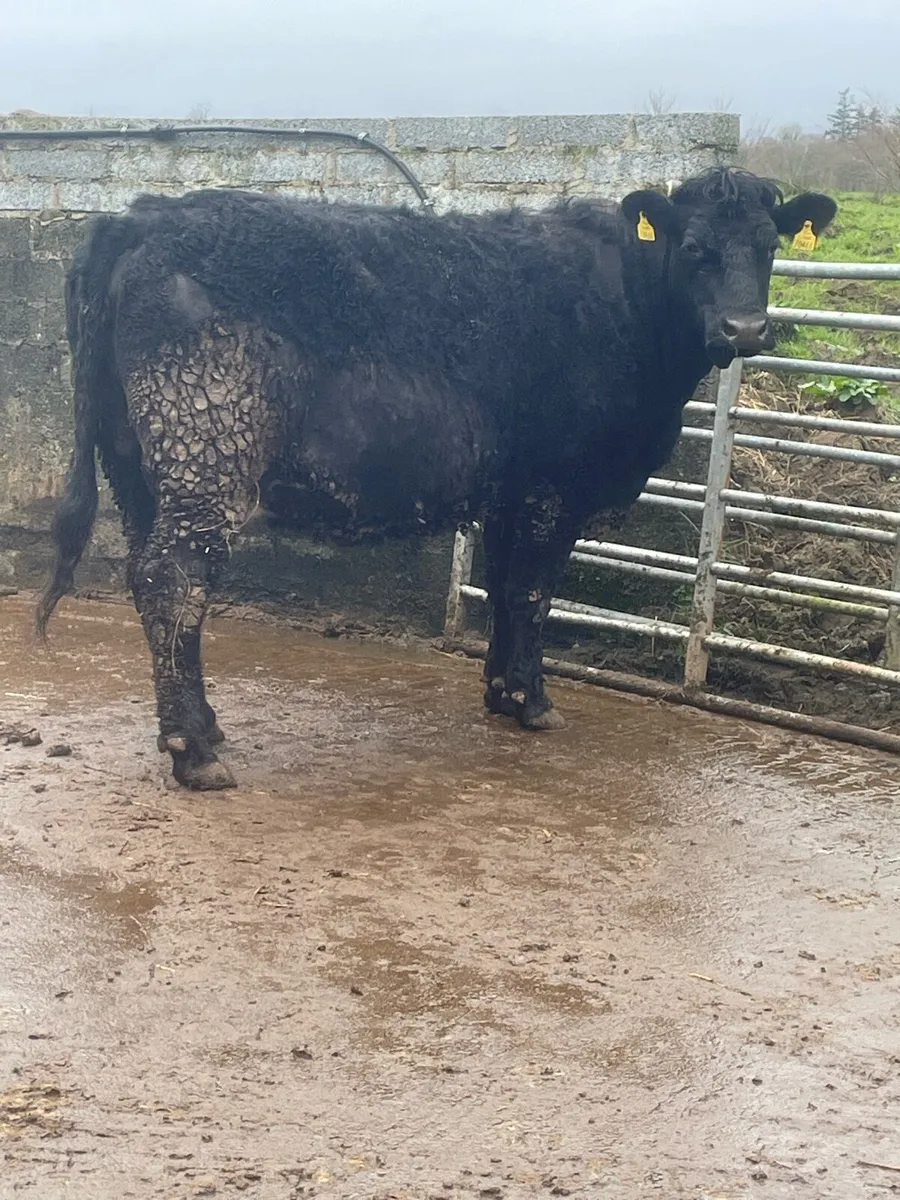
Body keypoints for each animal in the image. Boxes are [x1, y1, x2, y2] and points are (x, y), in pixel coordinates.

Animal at [37, 168, 837, 790]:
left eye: (768, 248)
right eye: (696, 249)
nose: (744, 329)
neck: (626, 300)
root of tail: (141, 216)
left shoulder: (514, 490)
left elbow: (508, 586)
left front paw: (502, 692)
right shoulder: (553, 487)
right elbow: (535, 590)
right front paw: (535, 701)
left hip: (137, 467)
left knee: (148, 577)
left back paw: (197, 727)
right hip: (206, 450)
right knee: (175, 580)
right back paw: (195, 751)